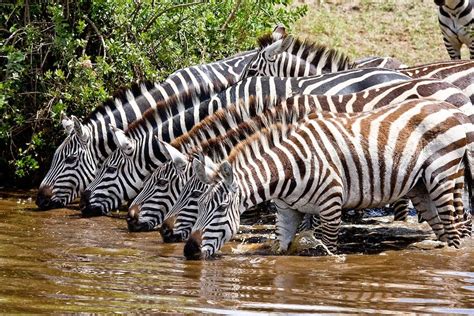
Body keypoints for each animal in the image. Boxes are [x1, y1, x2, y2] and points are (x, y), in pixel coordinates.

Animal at [184, 96, 474, 260]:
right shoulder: (287, 212)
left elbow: (330, 249)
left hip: (442, 175)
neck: (287, 168)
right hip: (421, 187)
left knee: (453, 229)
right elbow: (281, 249)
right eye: (199, 206)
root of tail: (451, 108)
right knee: (445, 230)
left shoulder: (331, 205)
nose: (189, 251)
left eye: (221, 209)